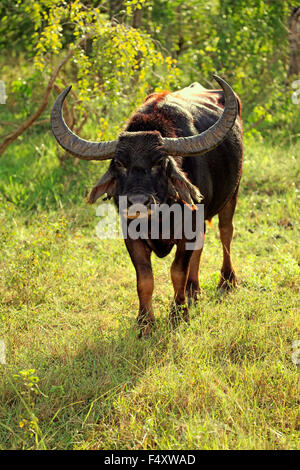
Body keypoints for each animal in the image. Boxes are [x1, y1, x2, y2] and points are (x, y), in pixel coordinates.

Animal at [51, 74, 243, 338]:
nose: (137, 203)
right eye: (119, 163)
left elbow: (177, 271)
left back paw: (226, 281)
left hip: (232, 193)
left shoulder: (188, 229)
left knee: (226, 234)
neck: (159, 219)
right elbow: (144, 279)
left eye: (159, 162)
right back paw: (194, 290)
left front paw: (178, 315)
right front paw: (144, 323)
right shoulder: (131, 237)